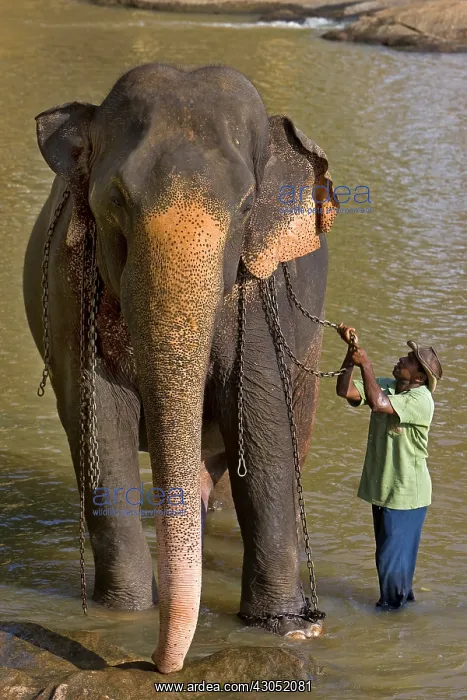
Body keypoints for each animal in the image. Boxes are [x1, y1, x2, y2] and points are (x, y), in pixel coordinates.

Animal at [23, 63, 339, 673]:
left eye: (246, 206)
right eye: (116, 199)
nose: (152, 663)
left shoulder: (259, 292)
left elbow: (262, 432)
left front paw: (284, 628)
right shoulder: (71, 287)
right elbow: (101, 429)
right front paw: (123, 615)